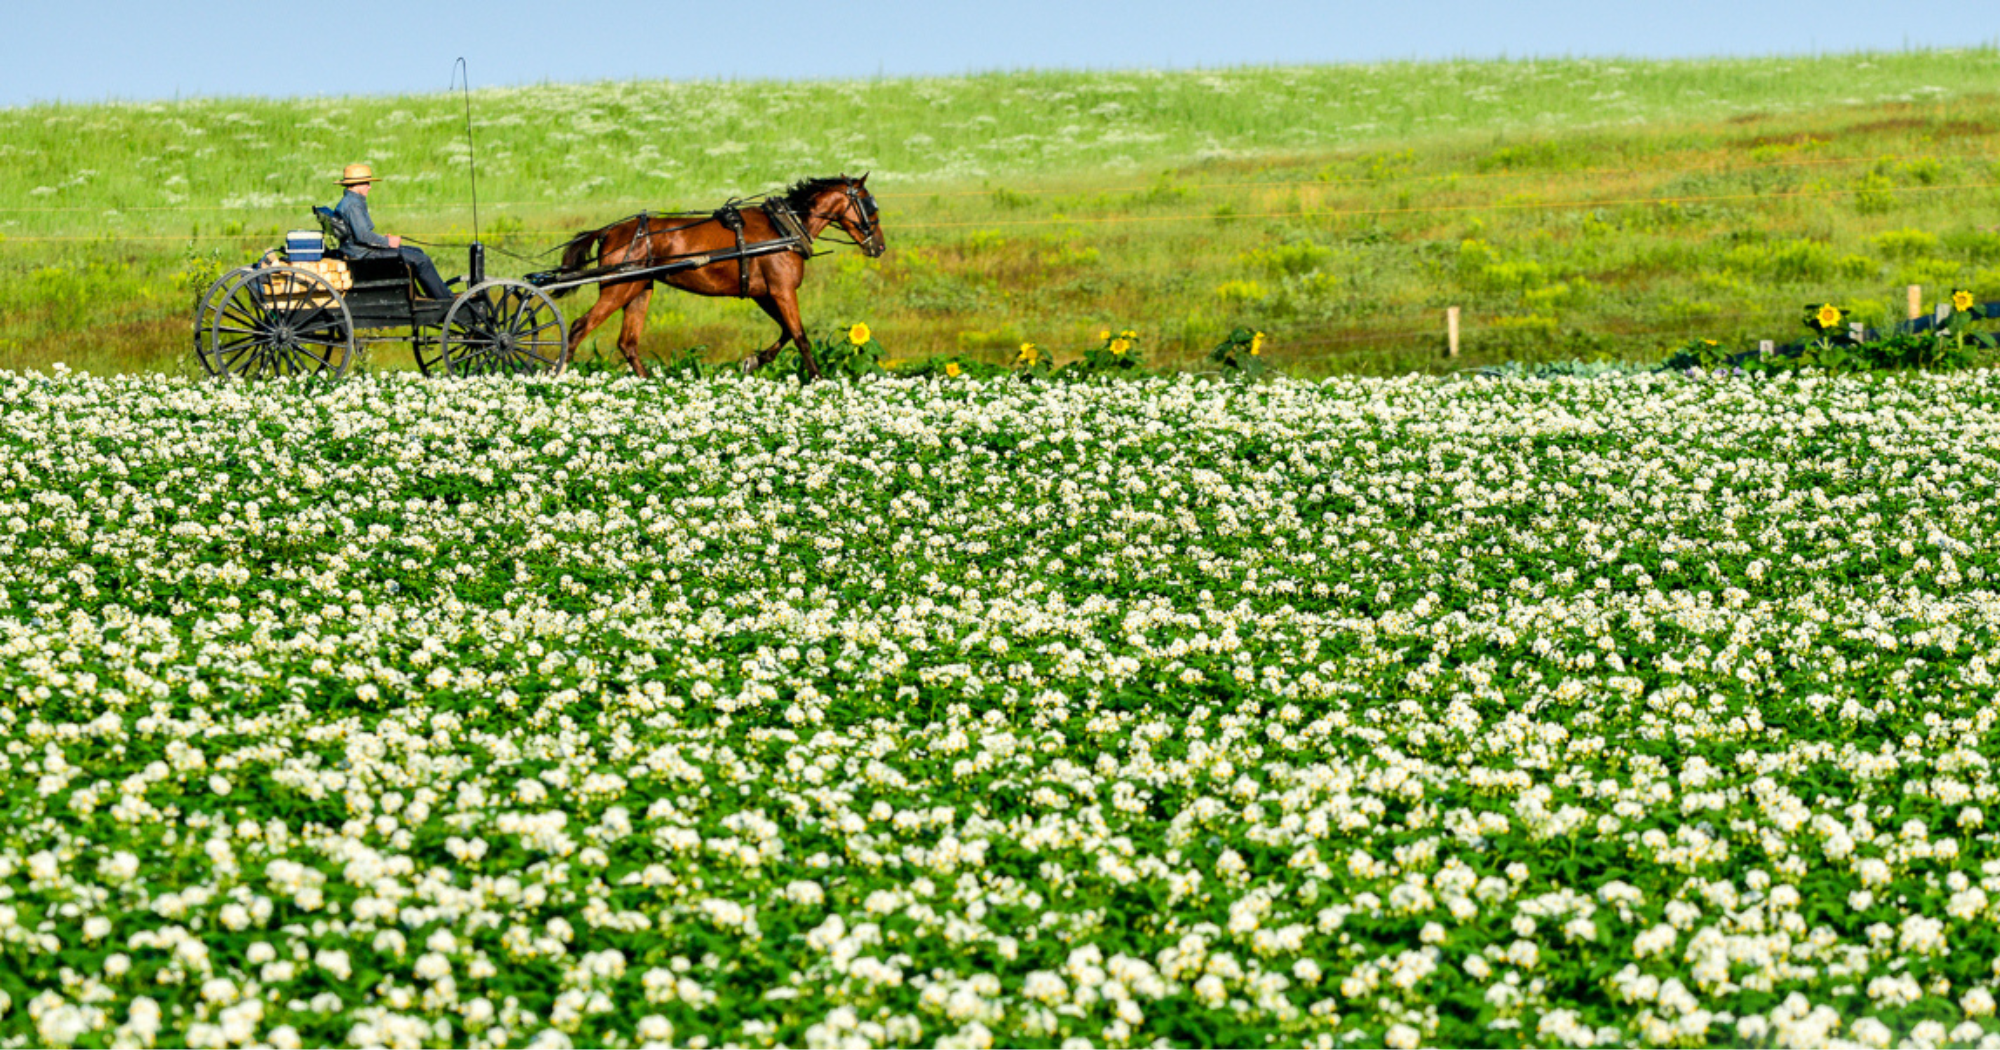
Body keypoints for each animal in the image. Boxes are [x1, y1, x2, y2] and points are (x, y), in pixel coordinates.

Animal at [556, 174, 884, 378]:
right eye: (870, 207)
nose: (879, 246)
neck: (784, 227)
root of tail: (609, 231)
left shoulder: (764, 293)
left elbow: (786, 332)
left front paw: (753, 361)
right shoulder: (782, 290)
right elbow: (800, 336)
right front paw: (817, 380)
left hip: (638, 289)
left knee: (628, 342)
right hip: (618, 287)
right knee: (578, 327)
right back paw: (556, 375)